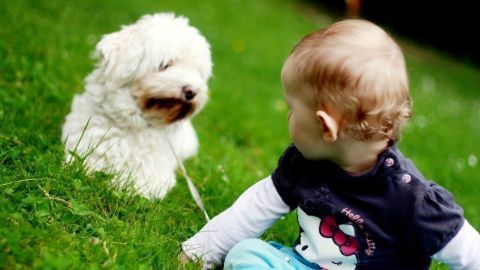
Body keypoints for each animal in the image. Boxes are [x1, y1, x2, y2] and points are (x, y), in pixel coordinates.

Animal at [61, 12, 211, 198]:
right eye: (165, 65)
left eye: (198, 73)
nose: (192, 91)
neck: (135, 123)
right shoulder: (85, 145)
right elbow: (85, 163)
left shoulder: (155, 176)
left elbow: (131, 183)